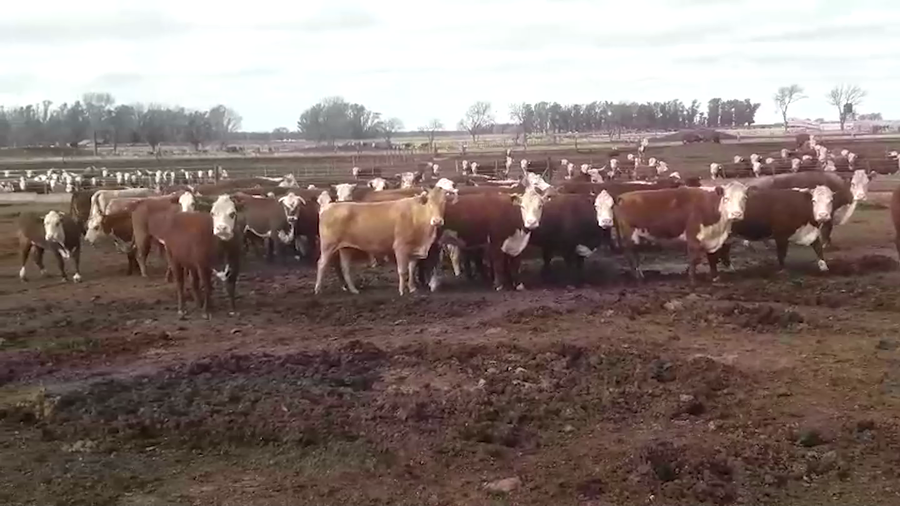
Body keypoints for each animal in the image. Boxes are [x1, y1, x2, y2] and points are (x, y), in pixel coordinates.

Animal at [314, 186, 455, 295]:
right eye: (430, 202)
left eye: (444, 202)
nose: (437, 221)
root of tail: (328, 207)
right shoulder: (400, 247)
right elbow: (402, 271)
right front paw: (402, 291)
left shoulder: (414, 249)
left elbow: (411, 269)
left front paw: (412, 288)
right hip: (328, 246)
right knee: (321, 264)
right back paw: (318, 290)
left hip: (346, 248)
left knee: (345, 268)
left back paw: (353, 290)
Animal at [606, 182, 750, 285]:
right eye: (726, 198)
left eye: (744, 198)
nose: (737, 214)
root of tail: (622, 196)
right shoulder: (693, 237)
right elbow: (694, 259)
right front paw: (692, 281)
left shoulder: (712, 239)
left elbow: (712, 258)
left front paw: (715, 278)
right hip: (629, 235)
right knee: (631, 255)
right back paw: (638, 278)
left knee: (633, 255)